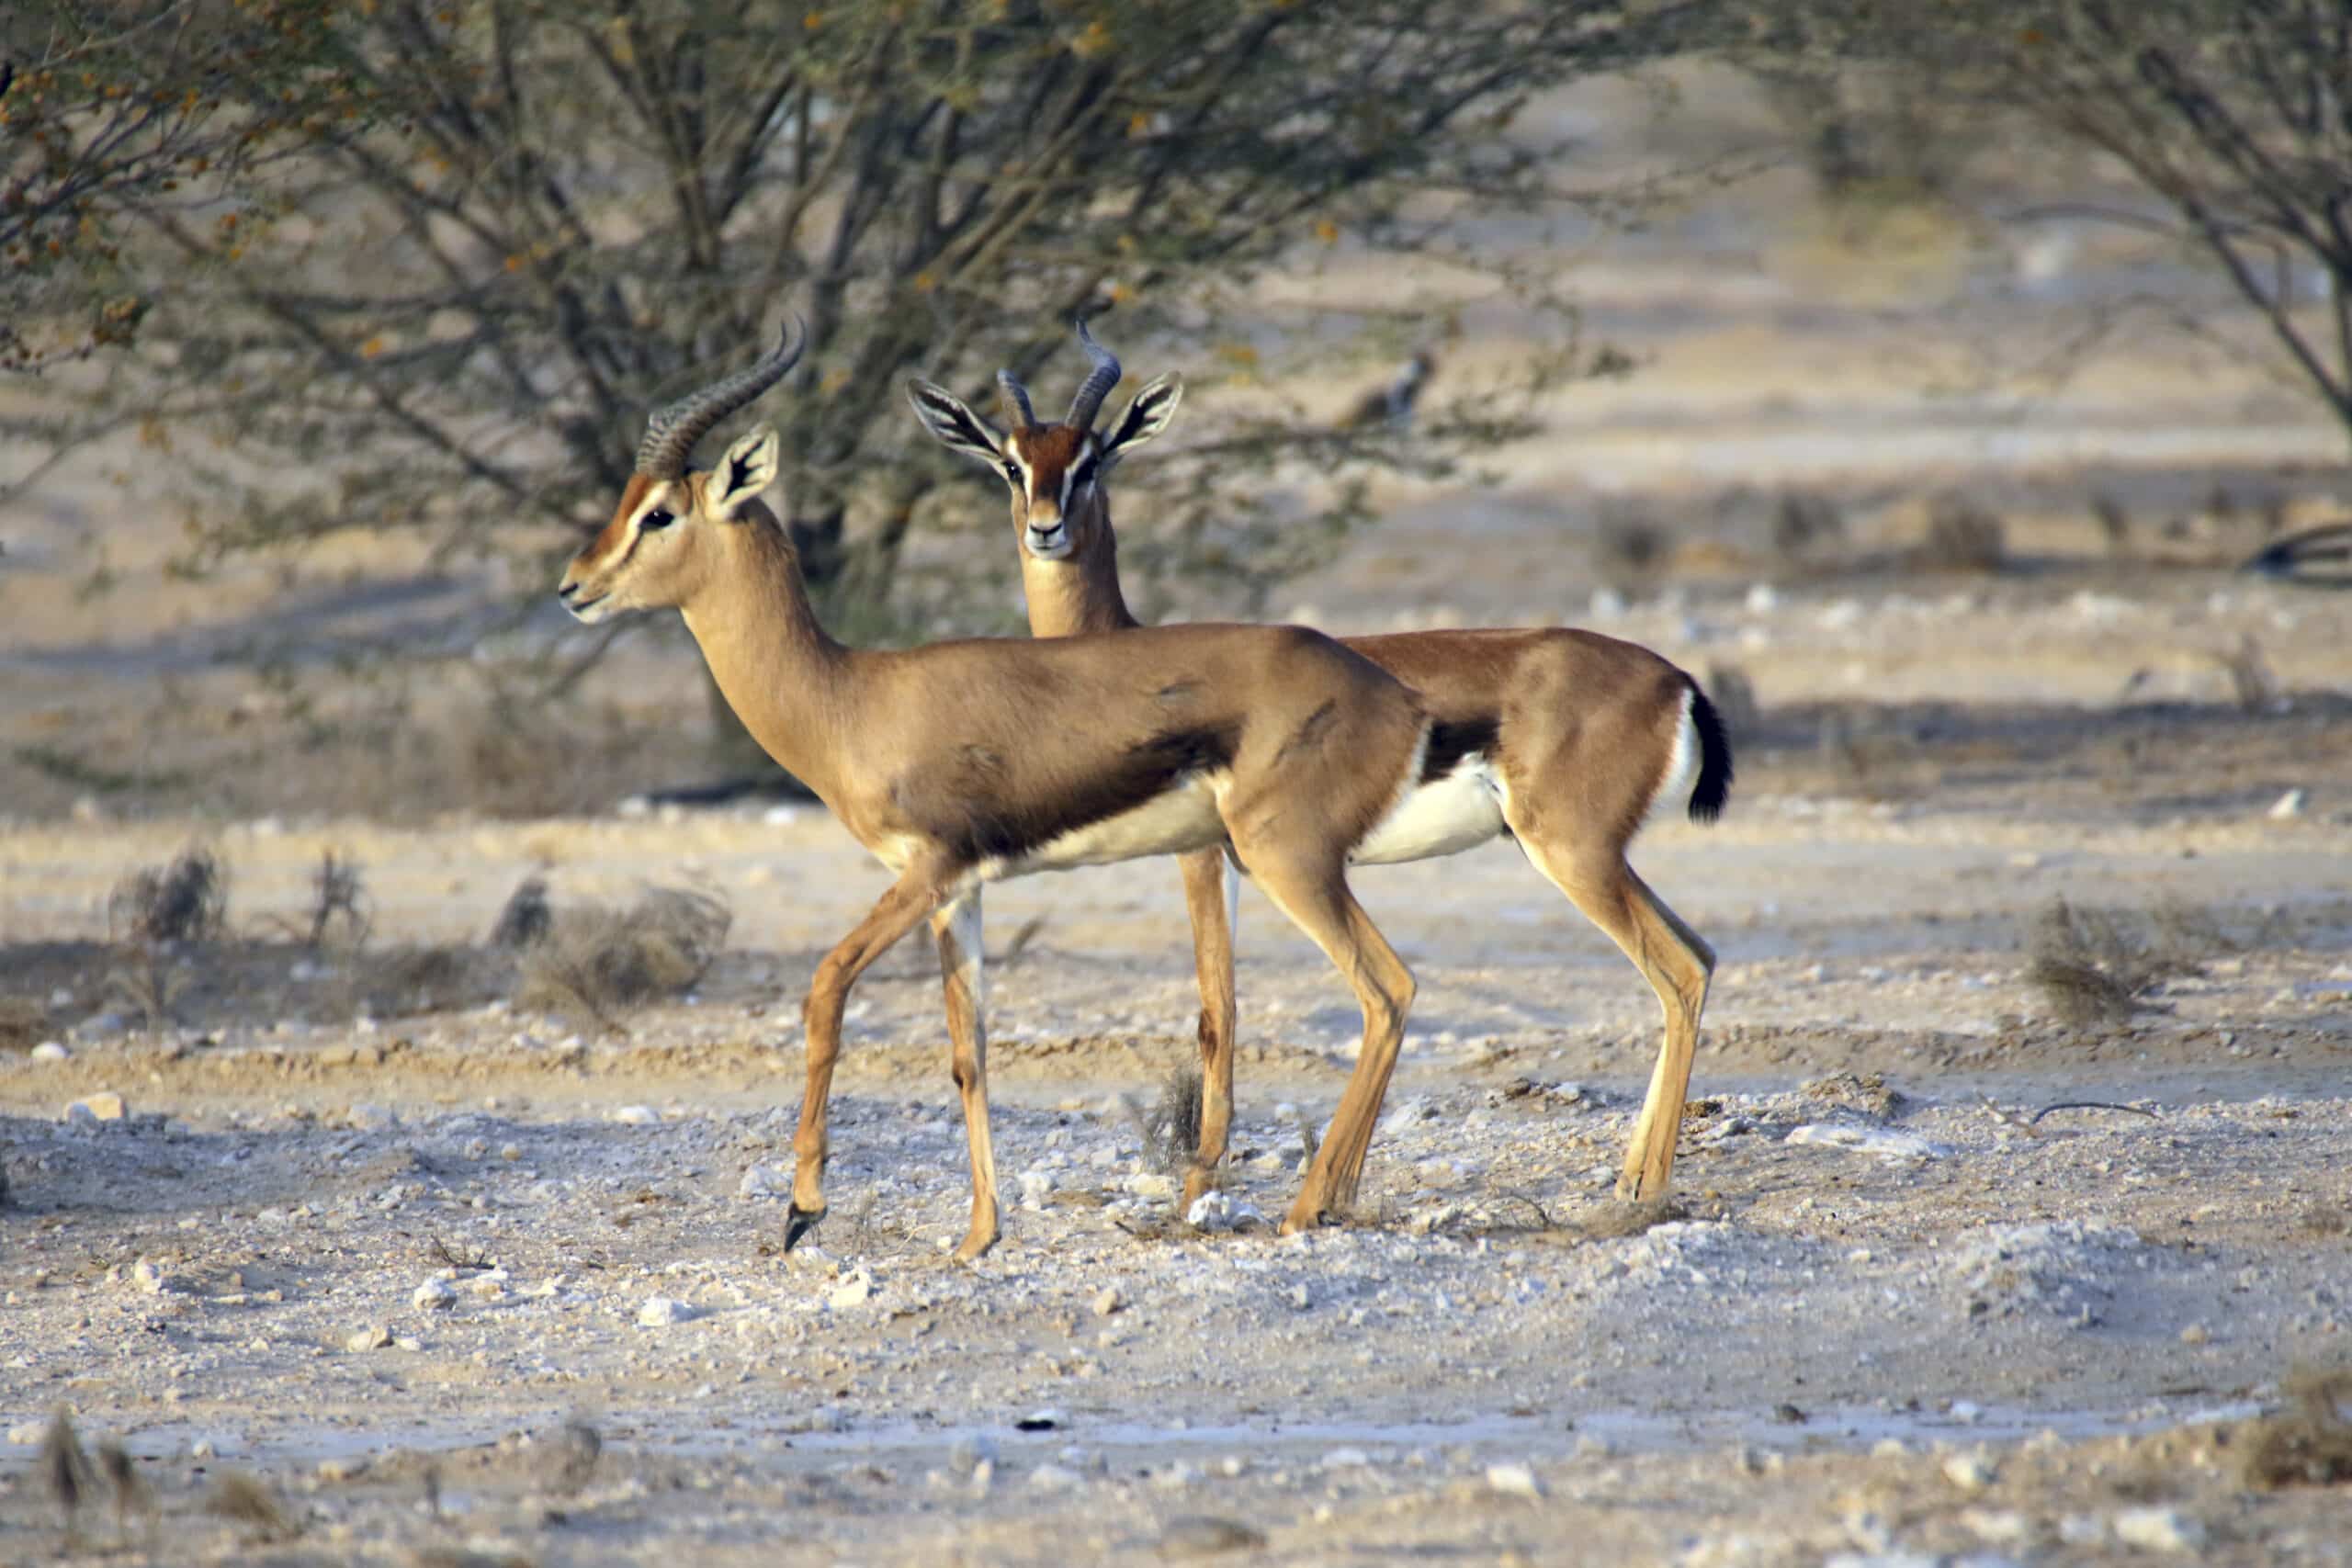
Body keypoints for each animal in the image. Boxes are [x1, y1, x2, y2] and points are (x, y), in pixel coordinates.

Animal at [559, 321, 1458, 1260]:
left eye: (660, 511)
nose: (573, 584)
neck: (851, 696)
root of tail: (1392, 690)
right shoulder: (958, 892)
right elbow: (970, 1050)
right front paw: (977, 1235)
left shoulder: (926, 870)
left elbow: (826, 986)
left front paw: (804, 1203)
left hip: (1284, 861)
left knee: (1386, 989)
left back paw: (1307, 1208)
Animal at [908, 323, 1733, 1209]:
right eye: (1011, 462)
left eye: (1092, 458)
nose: (1046, 527)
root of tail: (1678, 681)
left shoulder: (1203, 856)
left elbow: (1217, 1009)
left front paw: (1199, 1178)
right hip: (1598, 858)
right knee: (1699, 955)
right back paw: (1629, 1174)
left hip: (1568, 853)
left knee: (1674, 970)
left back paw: (1640, 1187)